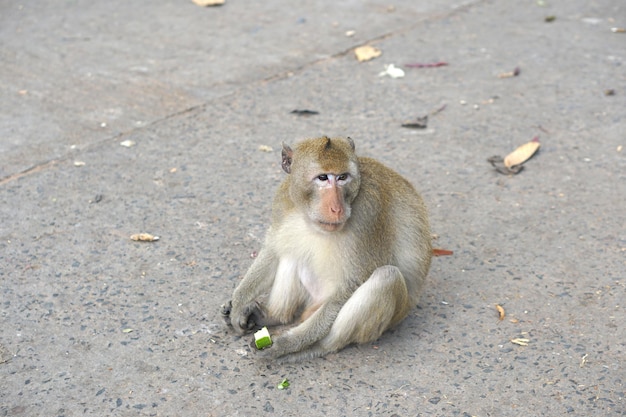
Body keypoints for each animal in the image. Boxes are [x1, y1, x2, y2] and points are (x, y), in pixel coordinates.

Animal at [222, 135, 432, 360]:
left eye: (342, 177)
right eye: (322, 178)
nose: (336, 208)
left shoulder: (369, 214)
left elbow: (351, 285)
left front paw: (287, 343)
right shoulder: (283, 200)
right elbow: (274, 251)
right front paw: (239, 304)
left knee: (387, 277)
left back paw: (312, 347)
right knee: (292, 250)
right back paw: (271, 316)